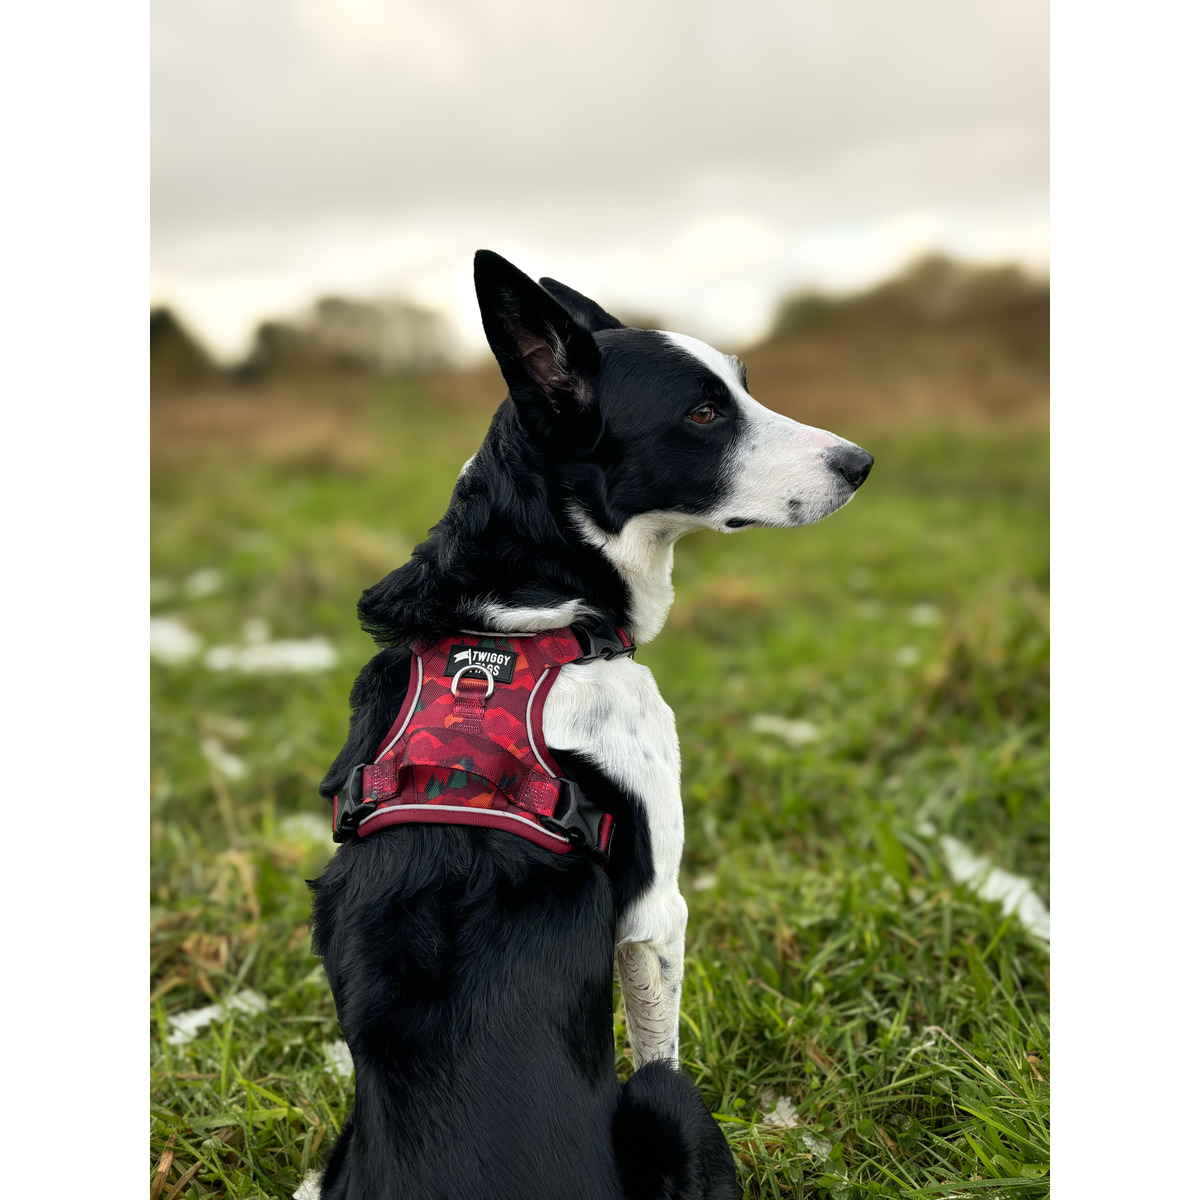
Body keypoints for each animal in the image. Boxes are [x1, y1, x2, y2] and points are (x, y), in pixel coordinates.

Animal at [309, 250, 873, 1199]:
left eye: (743, 383)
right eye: (704, 412)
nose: (861, 463)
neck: (524, 608)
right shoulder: (656, 912)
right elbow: (658, 1031)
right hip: (669, 1107)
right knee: (662, 1078)